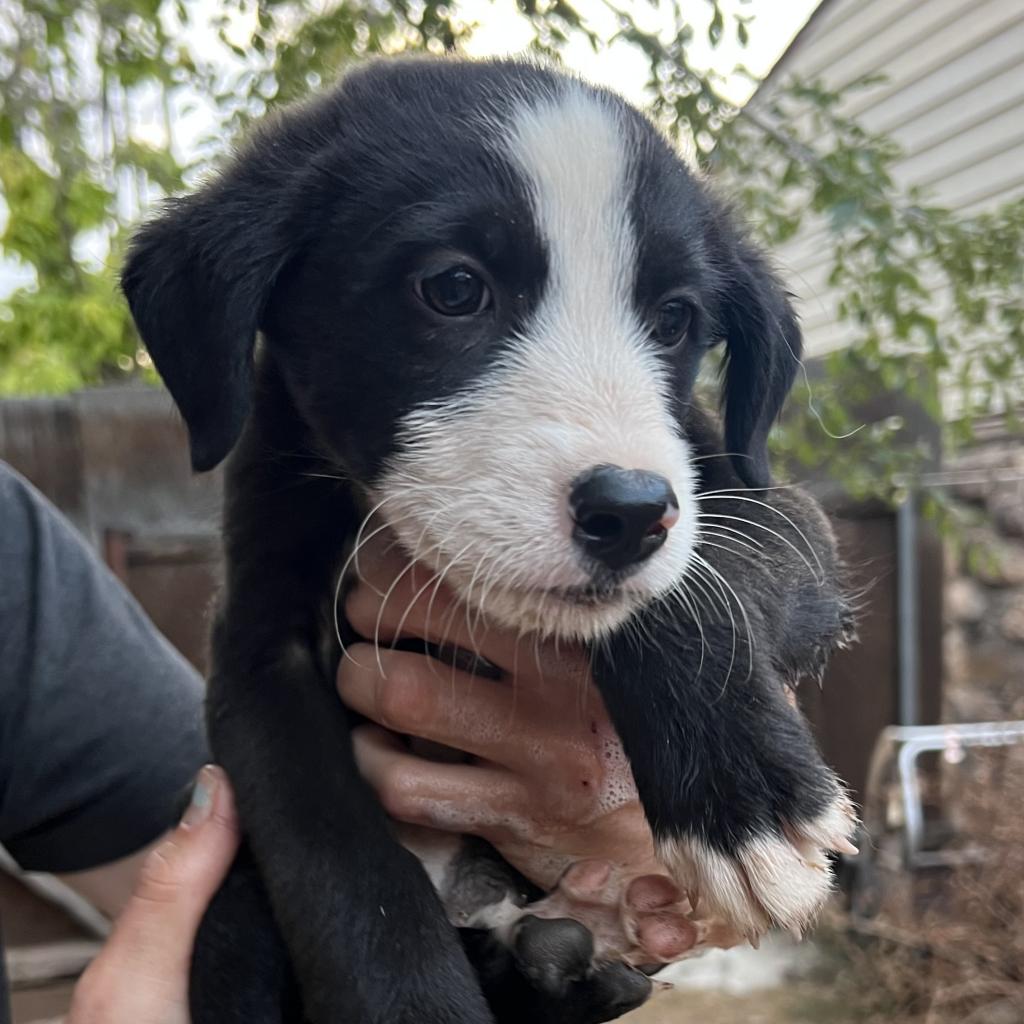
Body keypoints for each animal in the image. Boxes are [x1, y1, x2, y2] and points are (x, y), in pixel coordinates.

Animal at [119, 54, 856, 1024]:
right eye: (455, 288)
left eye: (673, 320)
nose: (629, 513)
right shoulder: (257, 659)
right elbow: (347, 875)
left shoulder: (778, 514)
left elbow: (701, 580)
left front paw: (747, 807)